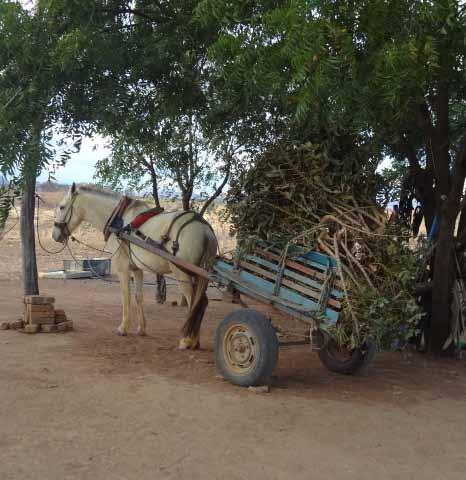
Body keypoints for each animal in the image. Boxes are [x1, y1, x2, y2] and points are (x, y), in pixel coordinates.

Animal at [52, 184, 218, 348]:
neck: (119, 221)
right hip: (198, 274)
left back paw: (188, 340)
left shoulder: (122, 268)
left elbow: (126, 296)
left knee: (194, 302)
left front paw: (123, 328)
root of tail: (204, 229)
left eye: (61, 207)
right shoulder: (137, 269)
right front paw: (142, 329)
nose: (55, 235)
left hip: (182, 273)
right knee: (201, 302)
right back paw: (194, 340)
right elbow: (139, 297)